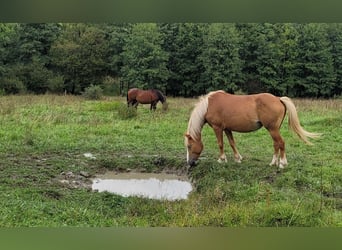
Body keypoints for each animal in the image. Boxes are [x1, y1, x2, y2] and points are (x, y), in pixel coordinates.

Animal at [184, 91, 320, 169]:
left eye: (189, 146)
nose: (190, 163)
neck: (208, 105)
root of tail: (278, 98)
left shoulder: (218, 128)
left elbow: (220, 144)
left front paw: (222, 159)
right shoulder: (227, 129)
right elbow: (232, 143)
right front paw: (238, 158)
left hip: (272, 129)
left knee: (281, 143)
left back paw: (282, 163)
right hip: (274, 130)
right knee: (276, 144)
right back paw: (273, 163)